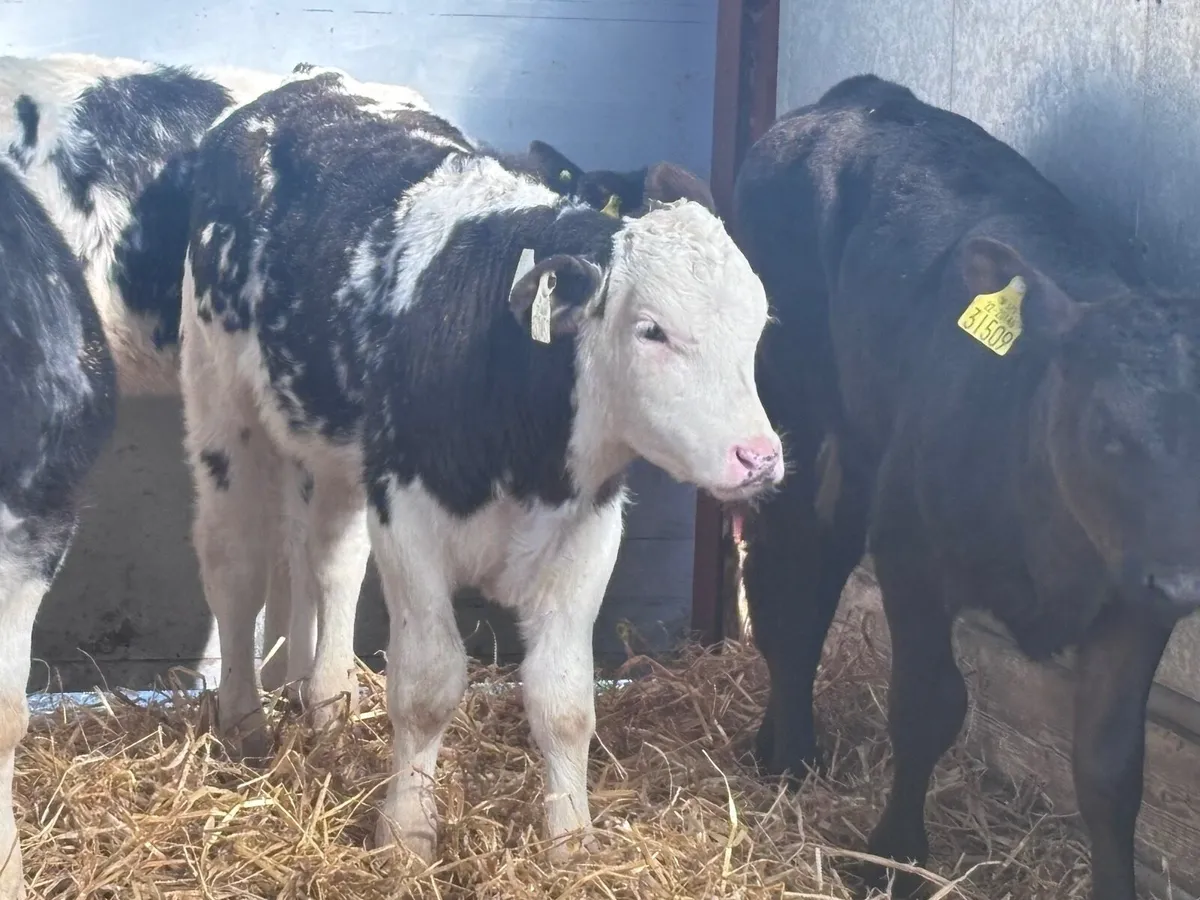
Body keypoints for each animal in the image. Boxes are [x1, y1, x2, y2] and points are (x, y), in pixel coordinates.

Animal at [180, 66, 782, 862]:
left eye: (758, 323)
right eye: (651, 329)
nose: (759, 457)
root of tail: (304, 83)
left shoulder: (589, 530)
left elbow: (564, 699)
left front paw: (570, 844)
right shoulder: (407, 517)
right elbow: (427, 686)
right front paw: (406, 837)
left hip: (341, 454)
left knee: (332, 560)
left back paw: (330, 704)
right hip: (222, 407)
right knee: (234, 566)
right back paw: (245, 725)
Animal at [733, 74, 1199, 900]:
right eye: (1104, 425)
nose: (1183, 581)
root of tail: (857, 97)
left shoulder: (1134, 601)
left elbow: (1111, 766)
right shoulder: (913, 553)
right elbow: (928, 703)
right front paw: (893, 857)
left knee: (822, 560)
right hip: (791, 407)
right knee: (787, 567)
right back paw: (789, 752)